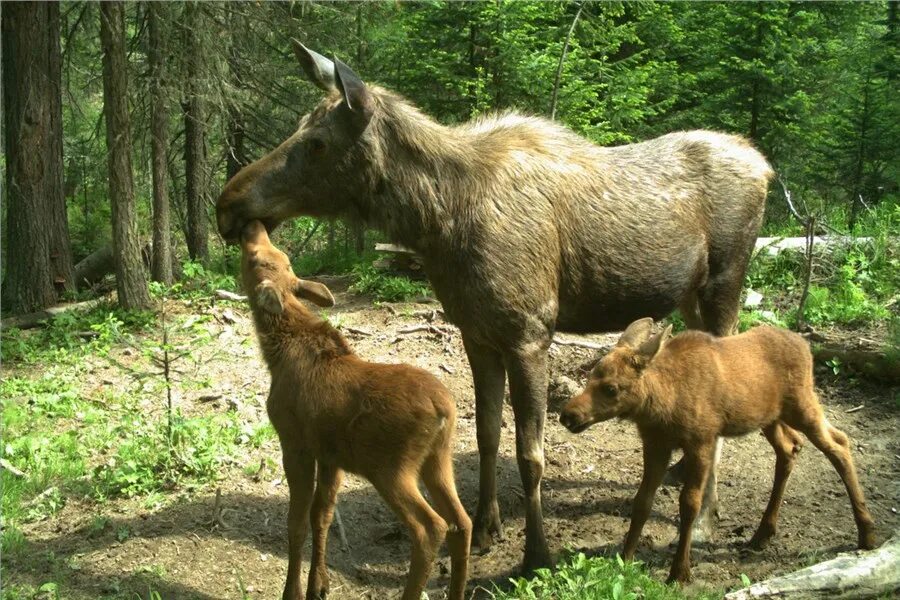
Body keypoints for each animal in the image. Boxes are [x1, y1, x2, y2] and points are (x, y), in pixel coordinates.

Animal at [243, 221, 474, 600]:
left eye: (257, 259)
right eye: (279, 256)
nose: (254, 226)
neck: (276, 353)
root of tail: (444, 409)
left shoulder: (294, 442)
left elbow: (296, 521)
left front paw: (293, 591)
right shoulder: (330, 455)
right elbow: (321, 514)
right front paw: (319, 586)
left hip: (391, 468)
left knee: (431, 527)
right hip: (438, 459)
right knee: (461, 521)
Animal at [560, 322, 876, 584]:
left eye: (612, 388)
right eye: (590, 376)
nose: (568, 415)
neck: (660, 404)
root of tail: (806, 346)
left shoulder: (702, 441)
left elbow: (689, 504)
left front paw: (679, 572)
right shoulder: (656, 445)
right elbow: (642, 501)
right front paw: (625, 560)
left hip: (802, 404)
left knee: (839, 444)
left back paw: (867, 533)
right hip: (770, 418)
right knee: (790, 448)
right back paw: (762, 533)